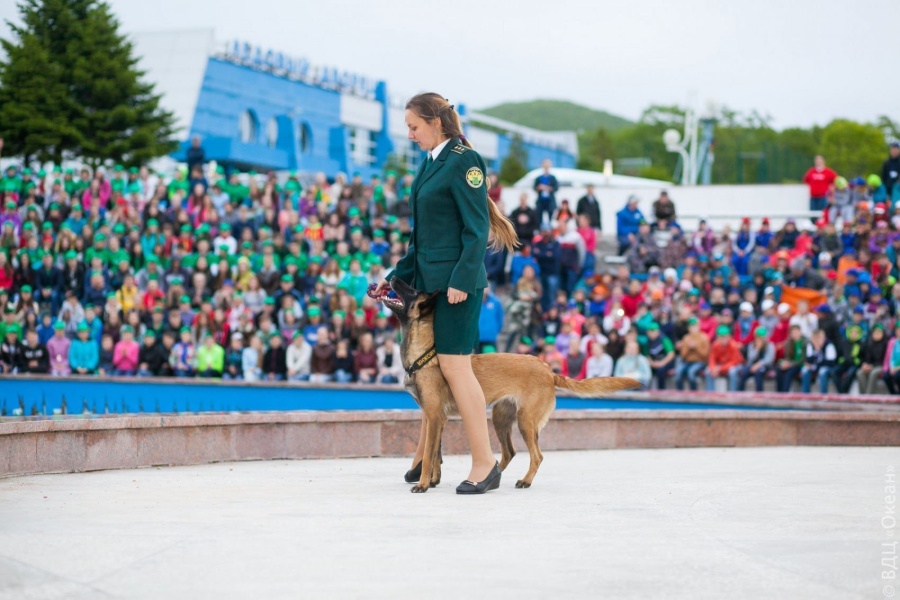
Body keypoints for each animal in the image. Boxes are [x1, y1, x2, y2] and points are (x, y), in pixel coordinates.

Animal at [374, 278, 642, 493]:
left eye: (412, 290)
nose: (392, 277)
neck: (426, 354)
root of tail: (548, 369)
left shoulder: (434, 416)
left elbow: (430, 456)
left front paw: (422, 484)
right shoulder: (435, 418)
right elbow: (437, 454)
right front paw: (432, 481)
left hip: (525, 421)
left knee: (537, 456)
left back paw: (524, 481)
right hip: (501, 418)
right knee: (509, 452)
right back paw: (492, 477)